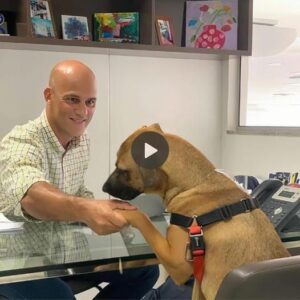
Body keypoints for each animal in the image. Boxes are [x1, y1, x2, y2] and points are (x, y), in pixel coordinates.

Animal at [102, 124, 290, 300]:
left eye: (122, 170)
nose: (103, 188)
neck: (195, 183)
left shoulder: (176, 262)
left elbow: (143, 219)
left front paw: (119, 210)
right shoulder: (197, 282)